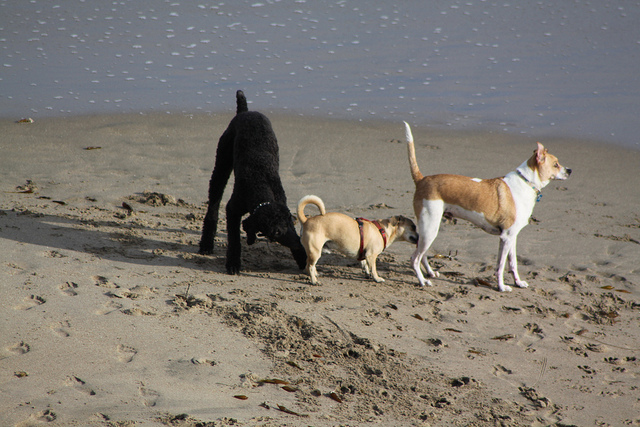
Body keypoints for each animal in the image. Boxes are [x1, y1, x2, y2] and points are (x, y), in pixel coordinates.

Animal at [199, 92, 306, 276]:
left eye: (292, 222)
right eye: (276, 232)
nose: (300, 245)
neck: (261, 185)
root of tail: (244, 112)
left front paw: (301, 259)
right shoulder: (233, 209)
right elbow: (234, 238)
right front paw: (233, 263)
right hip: (221, 164)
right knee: (213, 203)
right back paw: (206, 243)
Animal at [402, 122, 572, 292]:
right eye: (556, 164)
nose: (570, 170)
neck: (525, 182)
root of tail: (422, 179)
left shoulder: (512, 237)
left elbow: (513, 263)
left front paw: (518, 282)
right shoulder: (506, 237)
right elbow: (501, 266)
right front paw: (501, 287)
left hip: (429, 231)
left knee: (421, 254)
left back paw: (430, 273)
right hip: (430, 228)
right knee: (414, 258)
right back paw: (422, 281)